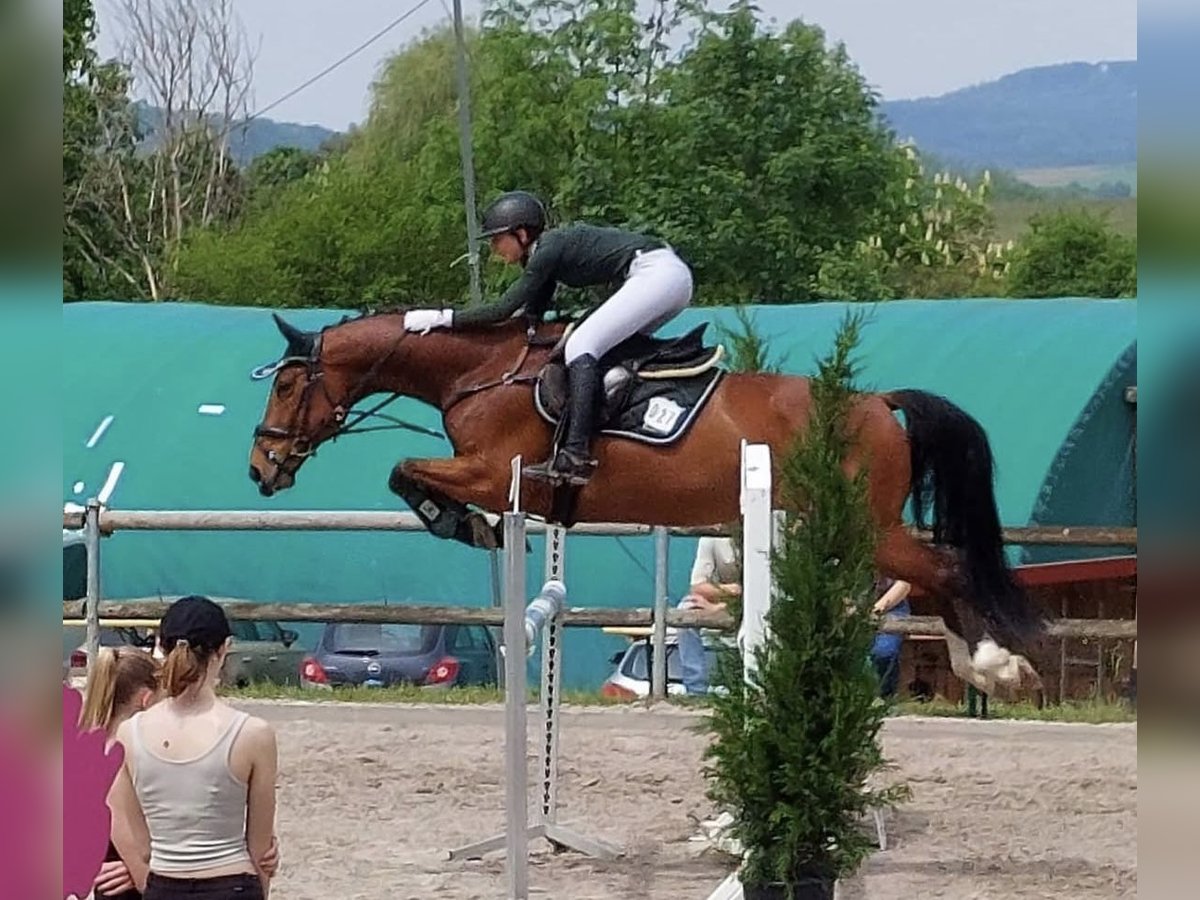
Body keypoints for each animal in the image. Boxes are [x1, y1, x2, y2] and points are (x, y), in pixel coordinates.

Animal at [247, 310, 1046, 694]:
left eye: (285, 384)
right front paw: (477, 528)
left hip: (864, 524)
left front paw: (465, 525)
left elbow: (404, 471)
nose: (261, 468)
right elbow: (408, 473)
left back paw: (995, 667)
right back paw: (991, 667)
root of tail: (878, 402)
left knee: (943, 569)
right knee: (937, 570)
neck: (484, 370)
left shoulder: (494, 471)